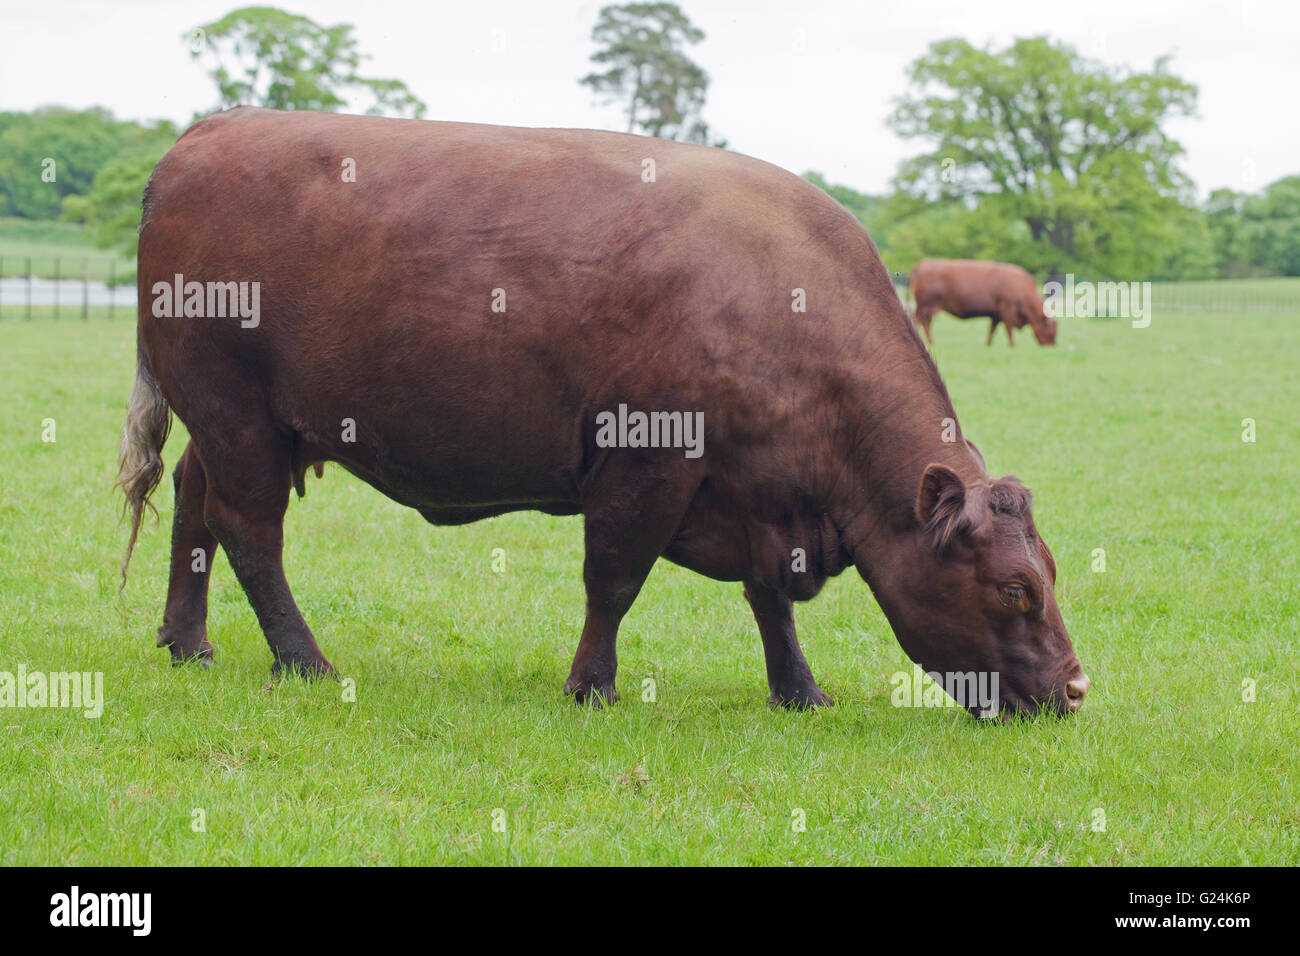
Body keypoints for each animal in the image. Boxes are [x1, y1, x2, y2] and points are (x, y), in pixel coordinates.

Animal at [909, 261, 1060, 348]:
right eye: (1051, 330)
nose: (1052, 345)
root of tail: (923, 265)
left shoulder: (996, 315)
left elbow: (992, 330)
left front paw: (988, 344)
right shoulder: (1007, 310)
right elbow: (1008, 329)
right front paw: (1012, 345)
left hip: (928, 308)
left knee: (925, 323)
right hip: (925, 307)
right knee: (919, 321)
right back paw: (930, 342)